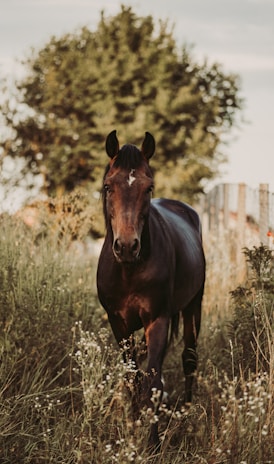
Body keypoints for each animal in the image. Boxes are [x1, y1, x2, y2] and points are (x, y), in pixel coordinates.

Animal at [96, 130, 206, 446]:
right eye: (108, 186)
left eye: (149, 187)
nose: (126, 246)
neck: (129, 270)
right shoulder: (118, 324)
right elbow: (132, 377)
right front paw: (133, 427)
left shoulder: (158, 320)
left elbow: (153, 381)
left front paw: (153, 442)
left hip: (193, 307)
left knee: (189, 359)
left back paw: (187, 414)